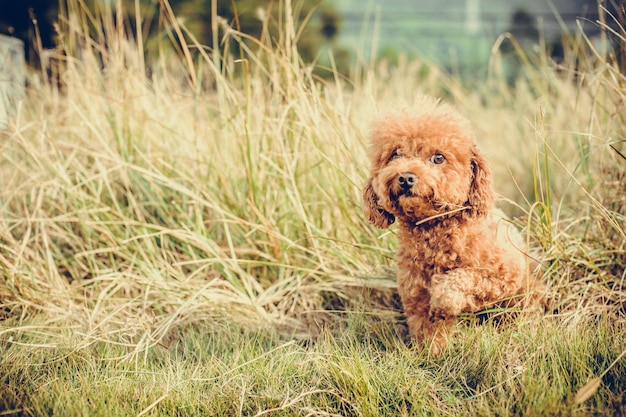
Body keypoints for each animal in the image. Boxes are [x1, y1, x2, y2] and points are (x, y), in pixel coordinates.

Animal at [364, 96, 540, 352]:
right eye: (395, 155)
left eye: (438, 158)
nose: (406, 178)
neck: (435, 231)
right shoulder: (415, 297)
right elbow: (429, 332)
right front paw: (433, 352)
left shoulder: (505, 274)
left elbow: (463, 277)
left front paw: (444, 299)